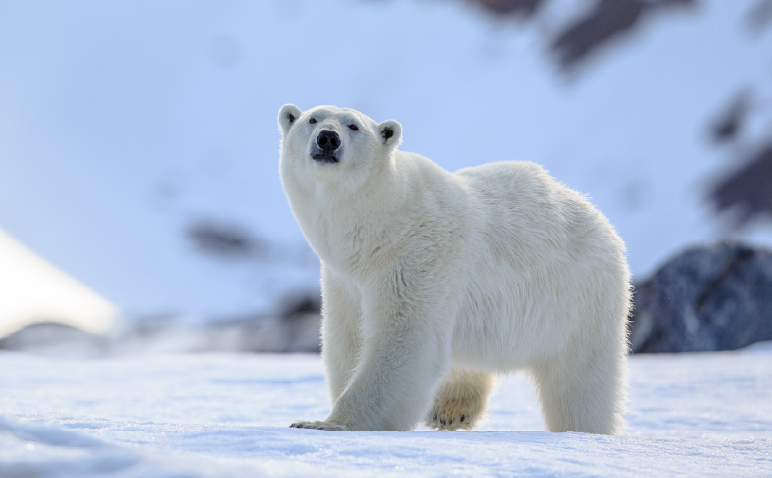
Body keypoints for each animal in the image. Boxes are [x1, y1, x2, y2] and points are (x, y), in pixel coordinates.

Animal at [278, 104, 631, 434]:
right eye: (311, 119)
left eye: (354, 126)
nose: (328, 138)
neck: (382, 226)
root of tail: (598, 217)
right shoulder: (344, 279)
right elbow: (349, 339)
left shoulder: (418, 255)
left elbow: (403, 337)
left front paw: (325, 423)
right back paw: (451, 409)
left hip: (579, 299)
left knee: (579, 382)